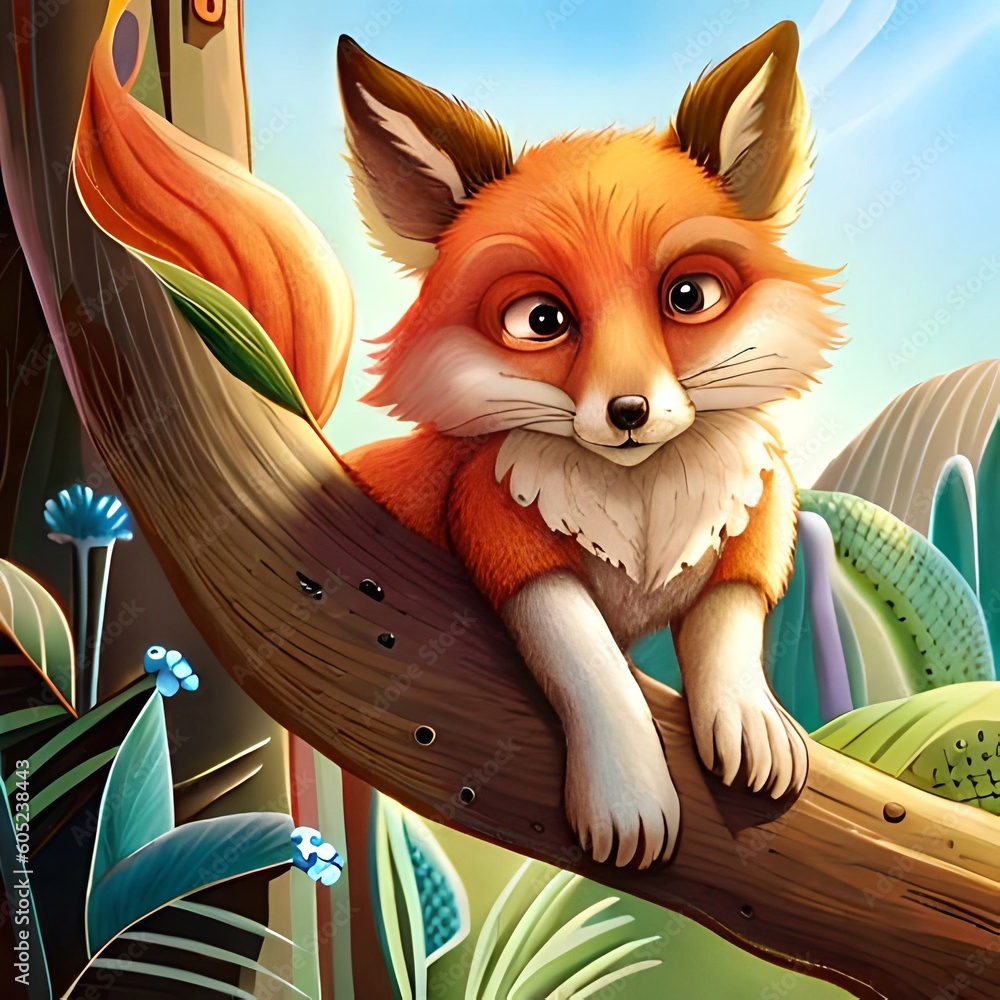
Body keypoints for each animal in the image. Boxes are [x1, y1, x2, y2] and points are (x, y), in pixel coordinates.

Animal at [337, 21, 844, 869]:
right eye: (541, 320)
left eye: (689, 297)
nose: (630, 410)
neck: (641, 506)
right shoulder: (502, 535)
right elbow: (595, 671)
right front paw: (628, 795)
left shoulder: (752, 521)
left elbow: (731, 622)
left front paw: (753, 719)